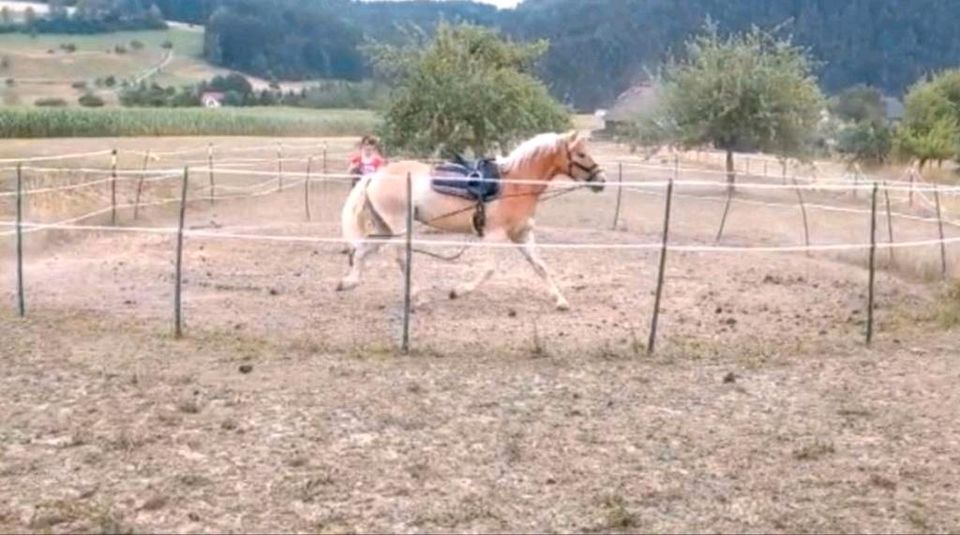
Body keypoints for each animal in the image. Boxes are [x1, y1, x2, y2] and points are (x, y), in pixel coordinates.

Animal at [338, 130, 608, 312]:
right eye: (581, 154)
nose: (601, 180)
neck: (515, 184)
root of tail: (375, 176)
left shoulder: (521, 234)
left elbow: (540, 266)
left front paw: (560, 301)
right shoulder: (494, 235)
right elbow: (489, 269)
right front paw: (458, 291)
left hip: (384, 227)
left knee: (363, 250)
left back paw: (348, 283)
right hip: (399, 226)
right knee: (401, 258)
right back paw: (419, 297)